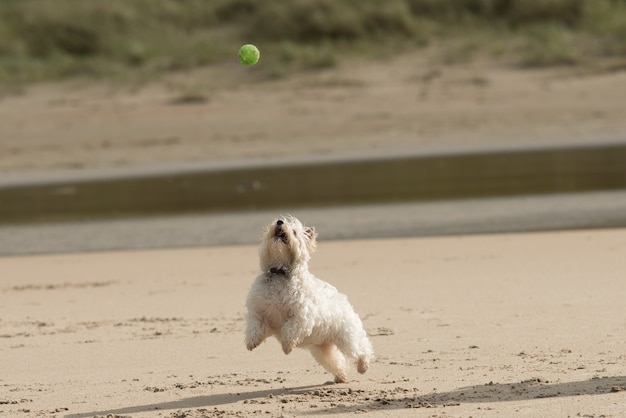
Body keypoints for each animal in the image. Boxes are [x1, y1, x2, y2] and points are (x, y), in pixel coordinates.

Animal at [243, 216, 370, 382]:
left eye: (294, 231)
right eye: (279, 221)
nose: (279, 222)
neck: (280, 272)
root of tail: (343, 300)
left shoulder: (301, 317)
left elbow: (290, 329)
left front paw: (287, 346)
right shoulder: (258, 313)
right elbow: (254, 327)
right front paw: (252, 342)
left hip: (348, 339)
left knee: (363, 348)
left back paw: (363, 366)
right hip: (322, 349)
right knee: (335, 360)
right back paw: (340, 376)